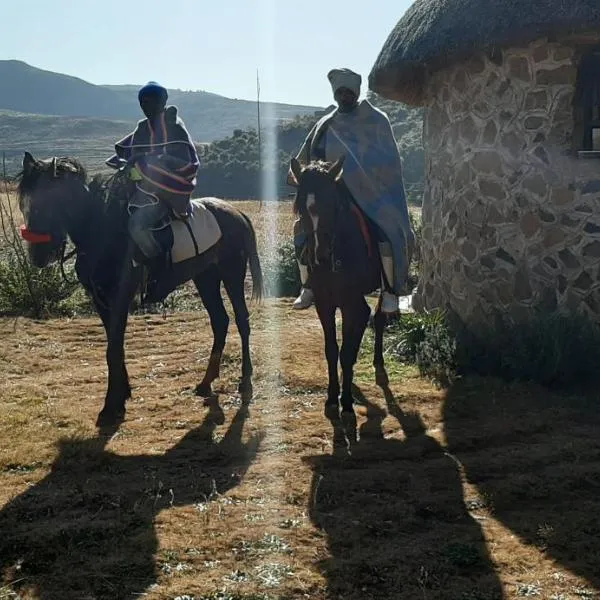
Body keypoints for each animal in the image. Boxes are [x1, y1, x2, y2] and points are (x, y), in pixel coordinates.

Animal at [17, 152, 262, 428]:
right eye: (24, 203)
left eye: (49, 200)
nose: (38, 256)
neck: (100, 228)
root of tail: (237, 213)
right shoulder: (100, 299)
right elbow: (115, 345)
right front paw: (121, 397)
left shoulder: (120, 296)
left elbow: (113, 348)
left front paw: (110, 407)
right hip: (206, 278)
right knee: (220, 321)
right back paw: (205, 382)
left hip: (232, 274)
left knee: (242, 321)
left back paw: (245, 382)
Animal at [290, 157, 390, 414]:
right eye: (301, 208)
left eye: (332, 204)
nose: (320, 256)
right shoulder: (324, 303)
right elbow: (331, 350)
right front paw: (332, 396)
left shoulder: (348, 303)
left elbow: (345, 352)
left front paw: (345, 401)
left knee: (377, 316)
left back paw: (378, 361)